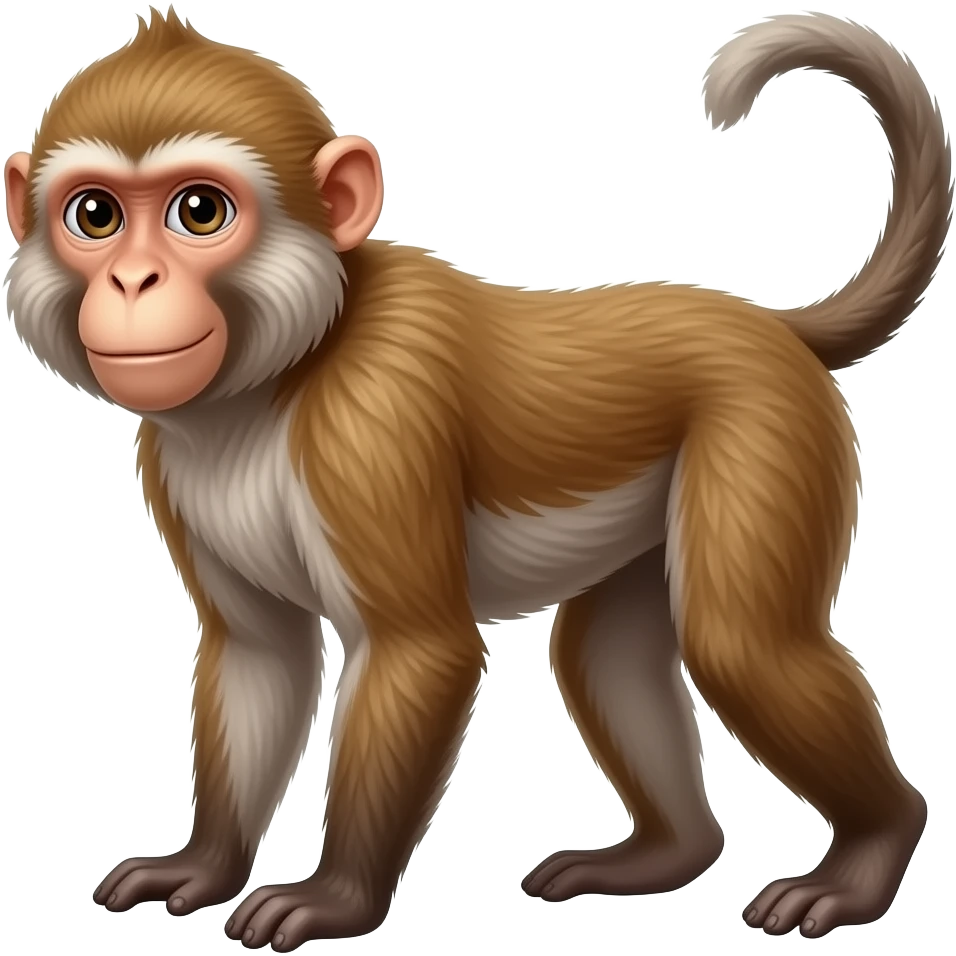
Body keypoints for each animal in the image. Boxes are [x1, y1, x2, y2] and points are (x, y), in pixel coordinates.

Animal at [1, 6, 949, 949]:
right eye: (96, 216)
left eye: (199, 211)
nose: (133, 280)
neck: (276, 379)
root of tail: (771, 329)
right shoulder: (168, 459)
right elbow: (261, 653)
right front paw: (203, 865)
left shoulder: (374, 419)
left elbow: (420, 649)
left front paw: (336, 898)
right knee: (609, 654)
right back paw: (667, 854)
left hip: (765, 427)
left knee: (739, 642)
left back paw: (870, 853)